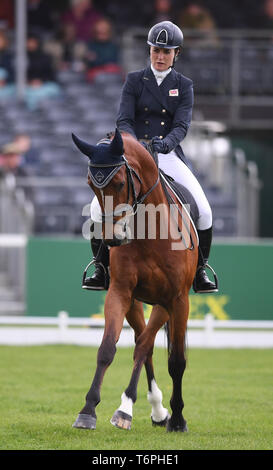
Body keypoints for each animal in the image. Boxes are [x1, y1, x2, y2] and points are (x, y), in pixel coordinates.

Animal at [71, 129, 197, 434]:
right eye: (91, 184)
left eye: (118, 183)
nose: (112, 238)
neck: (150, 232)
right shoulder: (120, 292)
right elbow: (107, 349)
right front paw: (88, 411)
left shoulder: (176, 299)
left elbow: (175, 360)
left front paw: (177, 419)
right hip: (136, 302)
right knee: (145, 344)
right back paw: (156, 411)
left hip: (165, 305)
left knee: (147, 345)